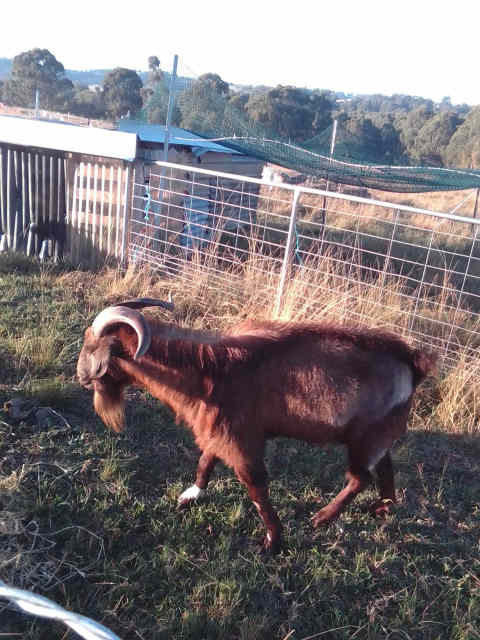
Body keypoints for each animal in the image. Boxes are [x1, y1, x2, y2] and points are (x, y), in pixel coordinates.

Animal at [77, 298, 436, 552]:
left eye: (92, 347)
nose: (81, 376)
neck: (208, 370)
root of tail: (413, 364)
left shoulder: (242, 439)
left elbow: (256, 487)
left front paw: (273, 541)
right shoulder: (220, 431)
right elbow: (206, 461)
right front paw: (190, 495)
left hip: (364, 438)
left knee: (360, 478)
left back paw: (322, 518)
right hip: (378, 435)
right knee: (384, 468)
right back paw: (382, 508)